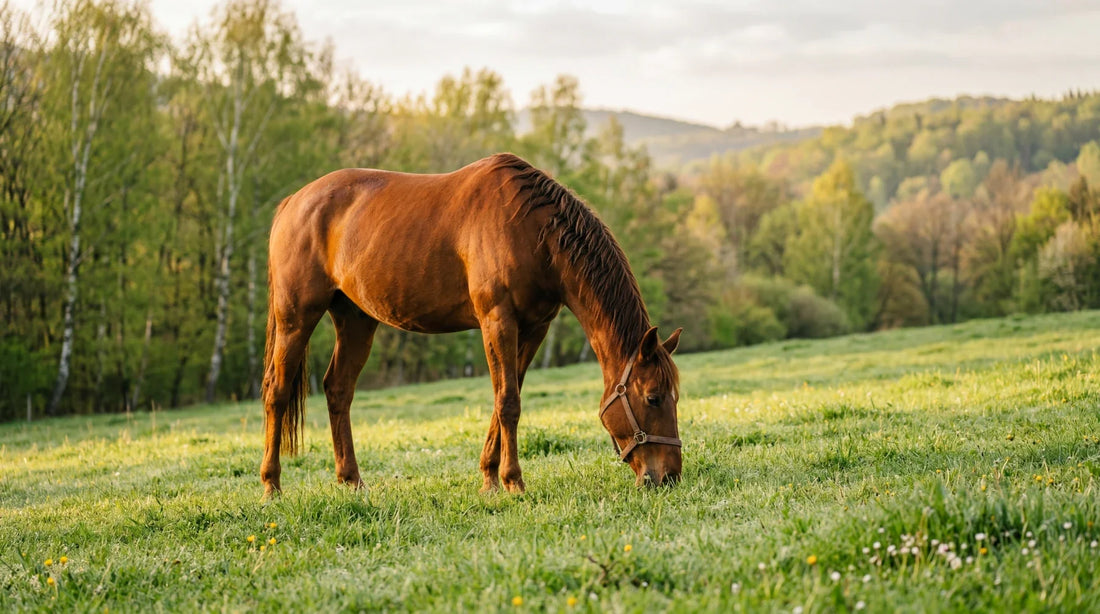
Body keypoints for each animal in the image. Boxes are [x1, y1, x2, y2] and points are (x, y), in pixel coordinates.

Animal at [261, 153, 683, 496]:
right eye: (653, 397)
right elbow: (508, 401)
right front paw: (513, 481)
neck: (531, 231)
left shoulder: (534, 328)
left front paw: (490, 478)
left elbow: (506, 397)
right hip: (296, 317)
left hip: (356, 320)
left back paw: (351, 480)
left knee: (338, 390)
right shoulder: (498, 320)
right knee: (277, 391)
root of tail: (292, 203)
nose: (670, 477)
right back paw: (272, 486)